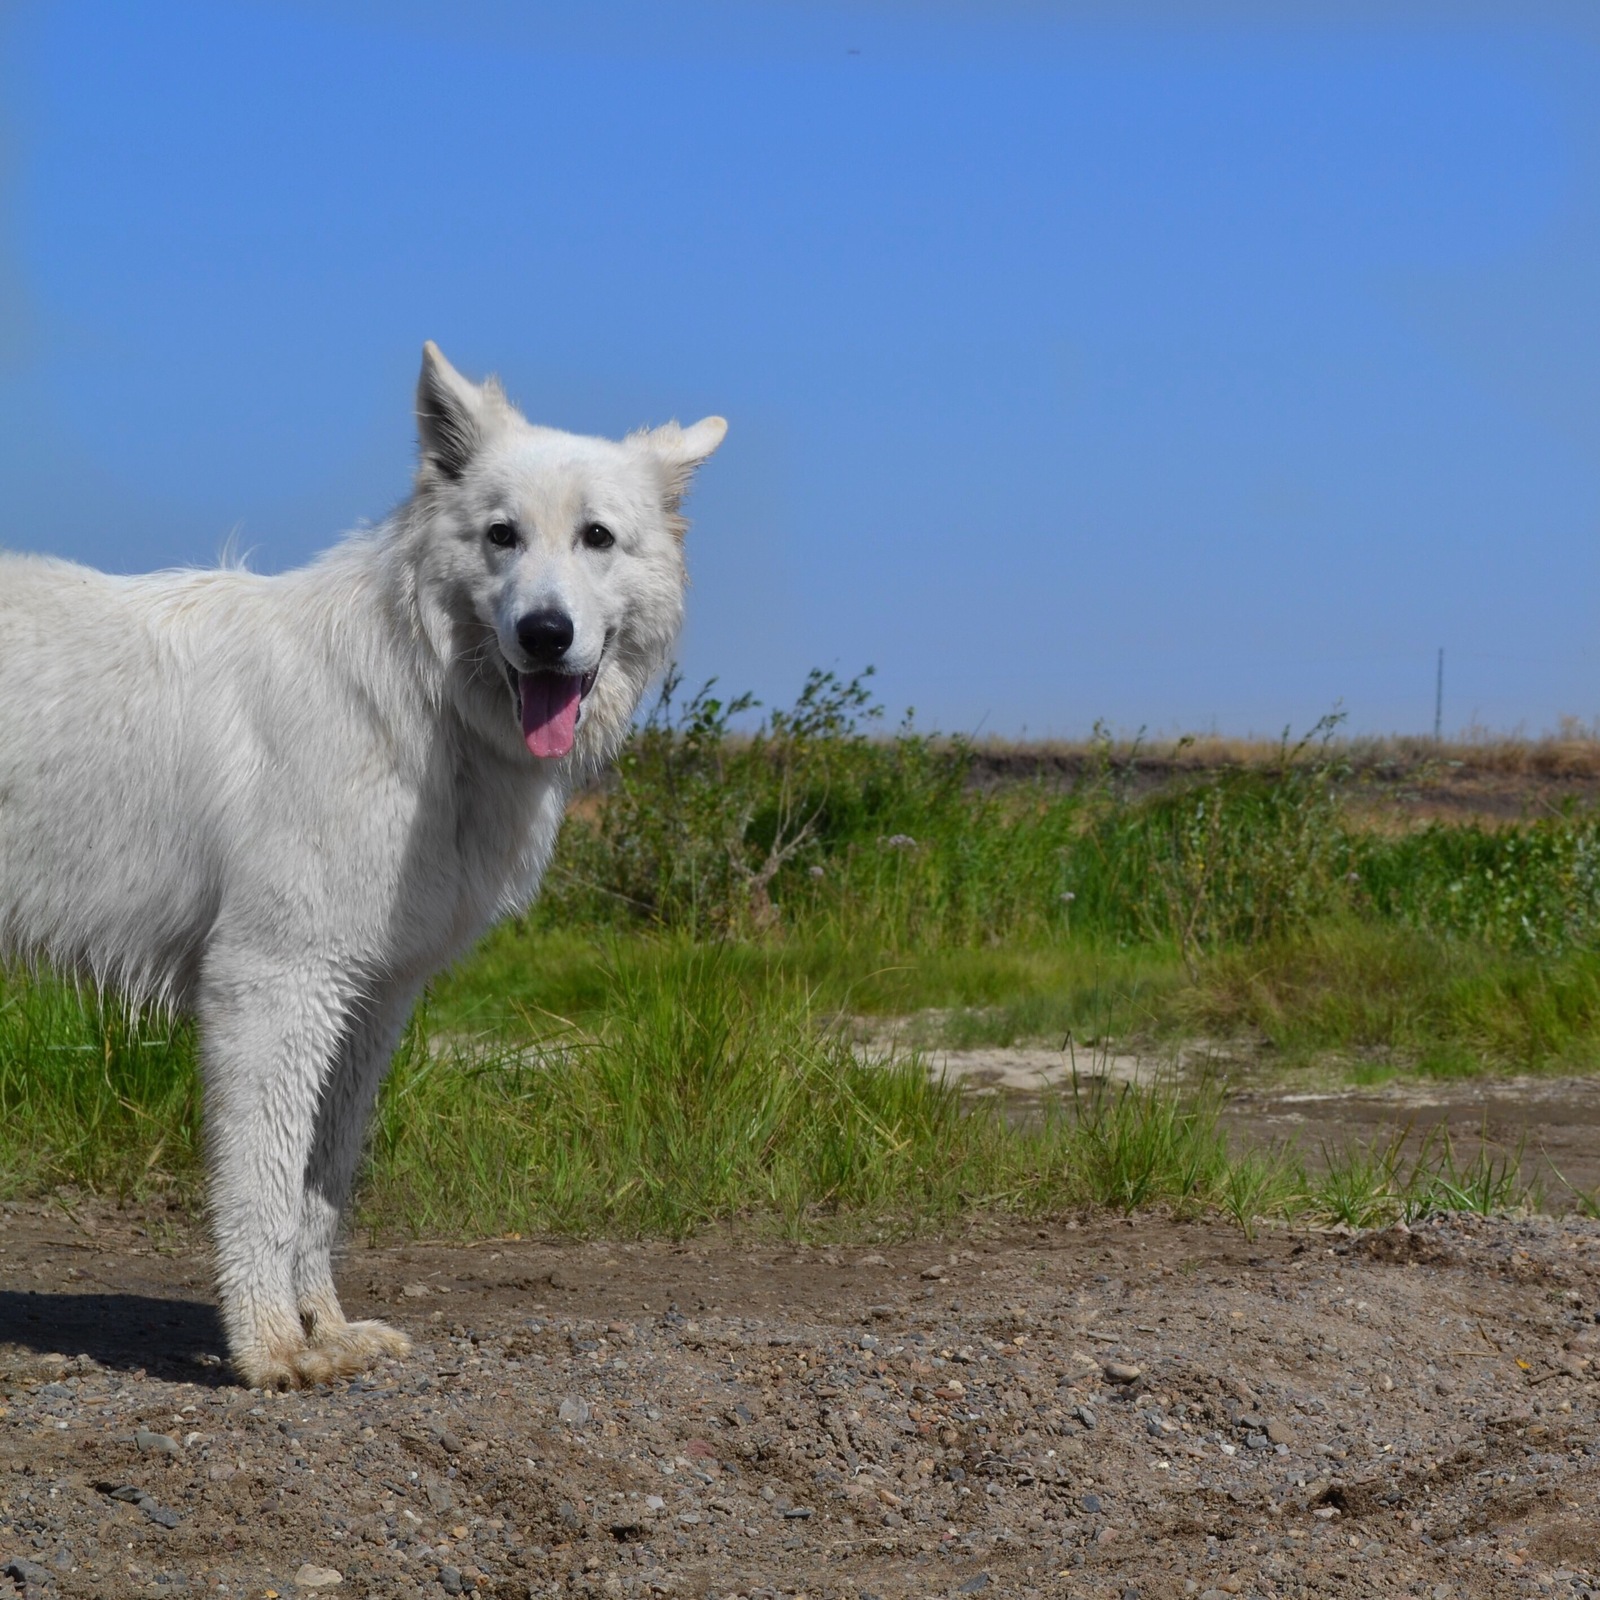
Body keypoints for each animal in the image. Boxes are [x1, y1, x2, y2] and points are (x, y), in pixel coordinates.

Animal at [0, 347, 726, 1388]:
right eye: (502, 536)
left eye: (597, 538)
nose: (545, 633)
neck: (422, 704)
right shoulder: (271, 988)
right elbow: (263, 1188)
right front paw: (268, 1349)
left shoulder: (373, 1000)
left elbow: (322, 1187)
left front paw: (325, 1329)